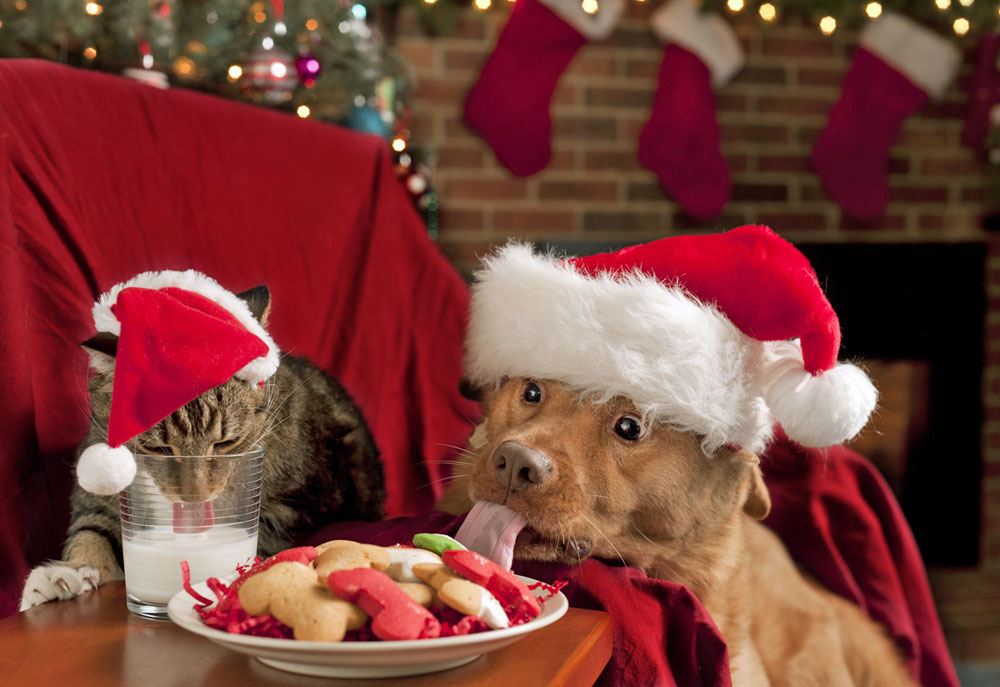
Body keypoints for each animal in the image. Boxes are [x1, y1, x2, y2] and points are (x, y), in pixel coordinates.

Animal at [22, 286, 386, 612]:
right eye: (158, 448)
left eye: (225, 444)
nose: (193, 498)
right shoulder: (99, 501)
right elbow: (91, 533)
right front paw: (65, 574)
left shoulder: (295, 507)